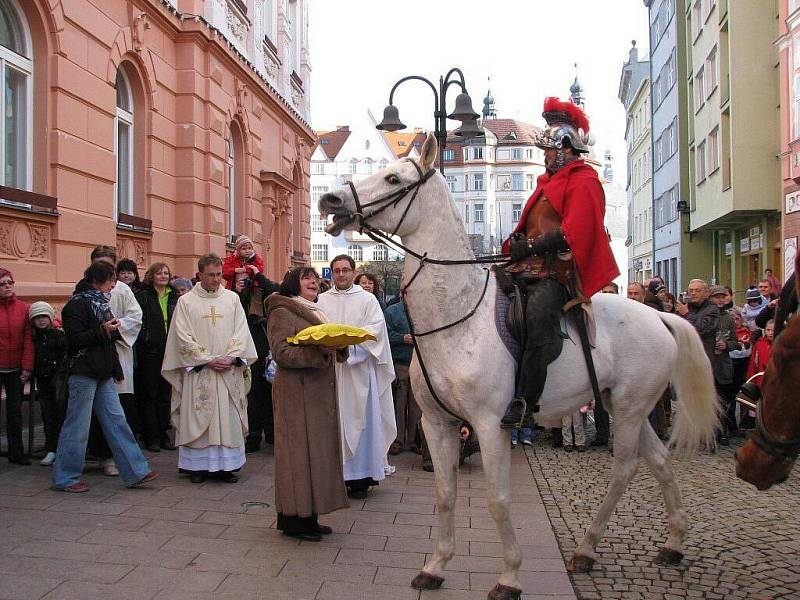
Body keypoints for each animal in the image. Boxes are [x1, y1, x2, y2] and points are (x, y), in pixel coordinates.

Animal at [318, 135, 720, 600]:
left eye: (393, 178)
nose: (330, 200)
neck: (457, 316)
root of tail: (659, 316)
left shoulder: (490, 425)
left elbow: (497, 500)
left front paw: (509, 576)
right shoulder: (437, 423)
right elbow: (444, 494)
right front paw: (436, 566)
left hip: (630, 408)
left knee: (625, 469)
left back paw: (588, 548)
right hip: (622, 405)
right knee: (660, 461)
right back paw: (668, 543)